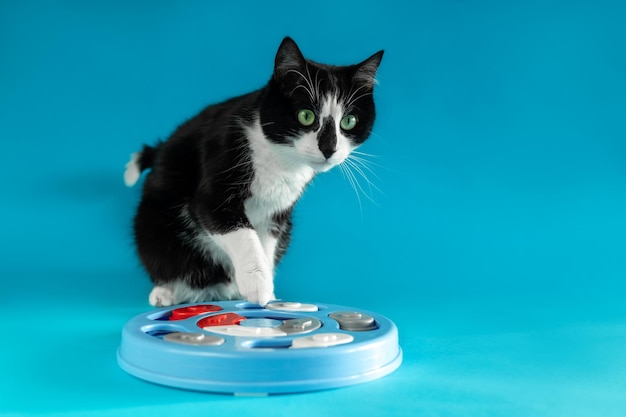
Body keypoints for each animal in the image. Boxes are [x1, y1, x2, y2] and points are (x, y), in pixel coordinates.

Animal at [124, 37, 382, 308]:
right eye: (306, 116)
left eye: (349, 121)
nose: (329, 148)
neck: (280, 161)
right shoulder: (215, 181)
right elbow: (241, 233)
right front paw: (257, 282)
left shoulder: (275, 213)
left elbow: (265, 245)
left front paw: (267, 294)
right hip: (154, 226)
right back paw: (167, 292)